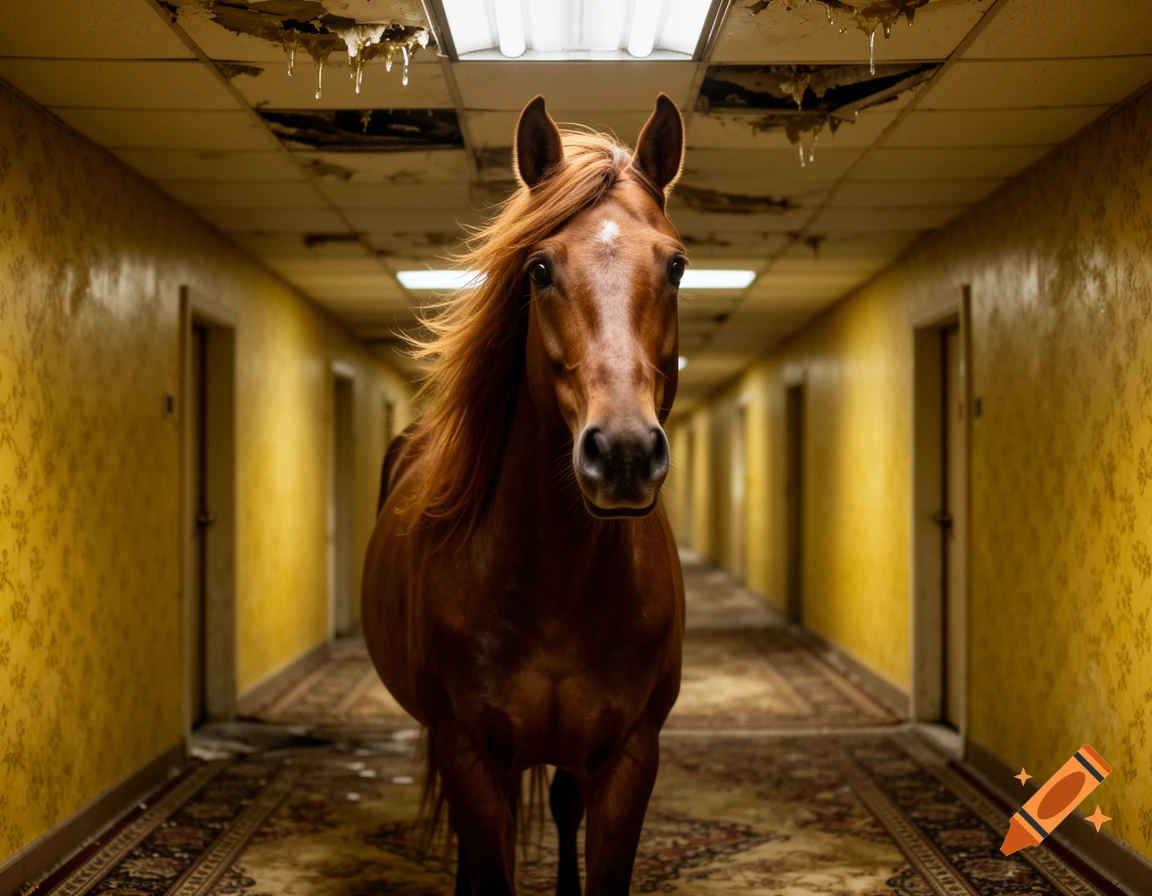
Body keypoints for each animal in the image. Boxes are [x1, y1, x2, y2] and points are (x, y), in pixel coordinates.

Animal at [361, 93, 687, 896]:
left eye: (676, 266)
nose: (624, 453)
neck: (556, 582)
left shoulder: (629, 755)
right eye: (539, 267)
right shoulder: (470, 753)